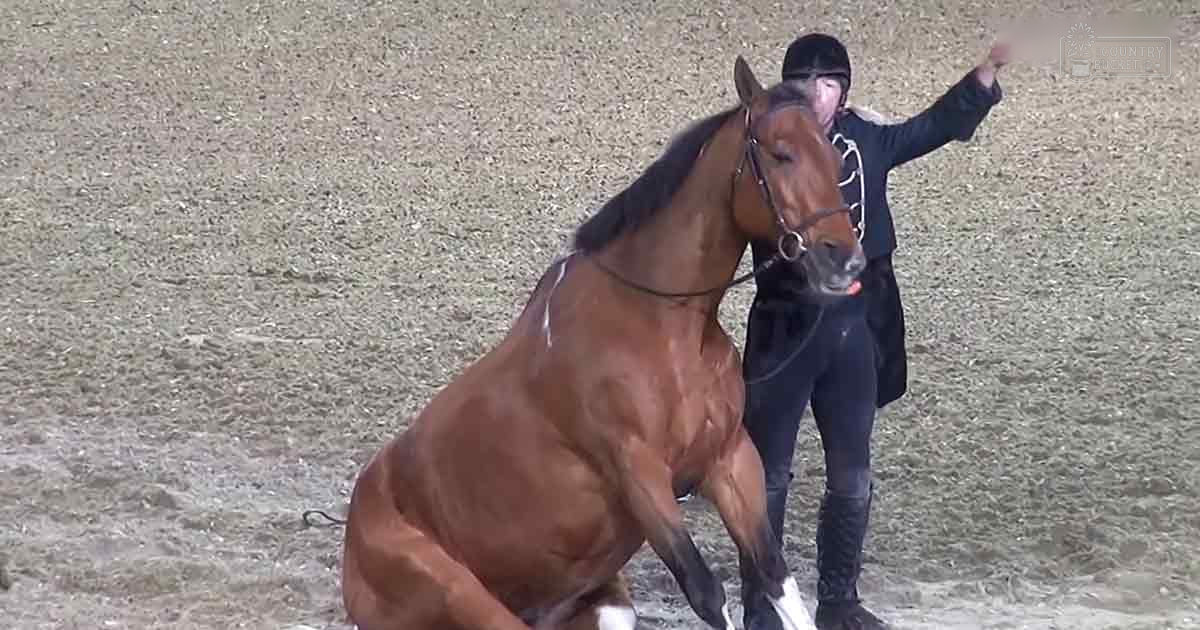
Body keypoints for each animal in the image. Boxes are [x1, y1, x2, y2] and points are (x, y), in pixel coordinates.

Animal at [339, 55, 866, 630]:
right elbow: (707, 592)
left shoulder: (729, 461)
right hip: (469, 598)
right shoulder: (638, 474)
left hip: (602, 604)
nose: (846, 260)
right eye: (781, 154)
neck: (663, 327)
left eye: (834, 159)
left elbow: (775, 574)